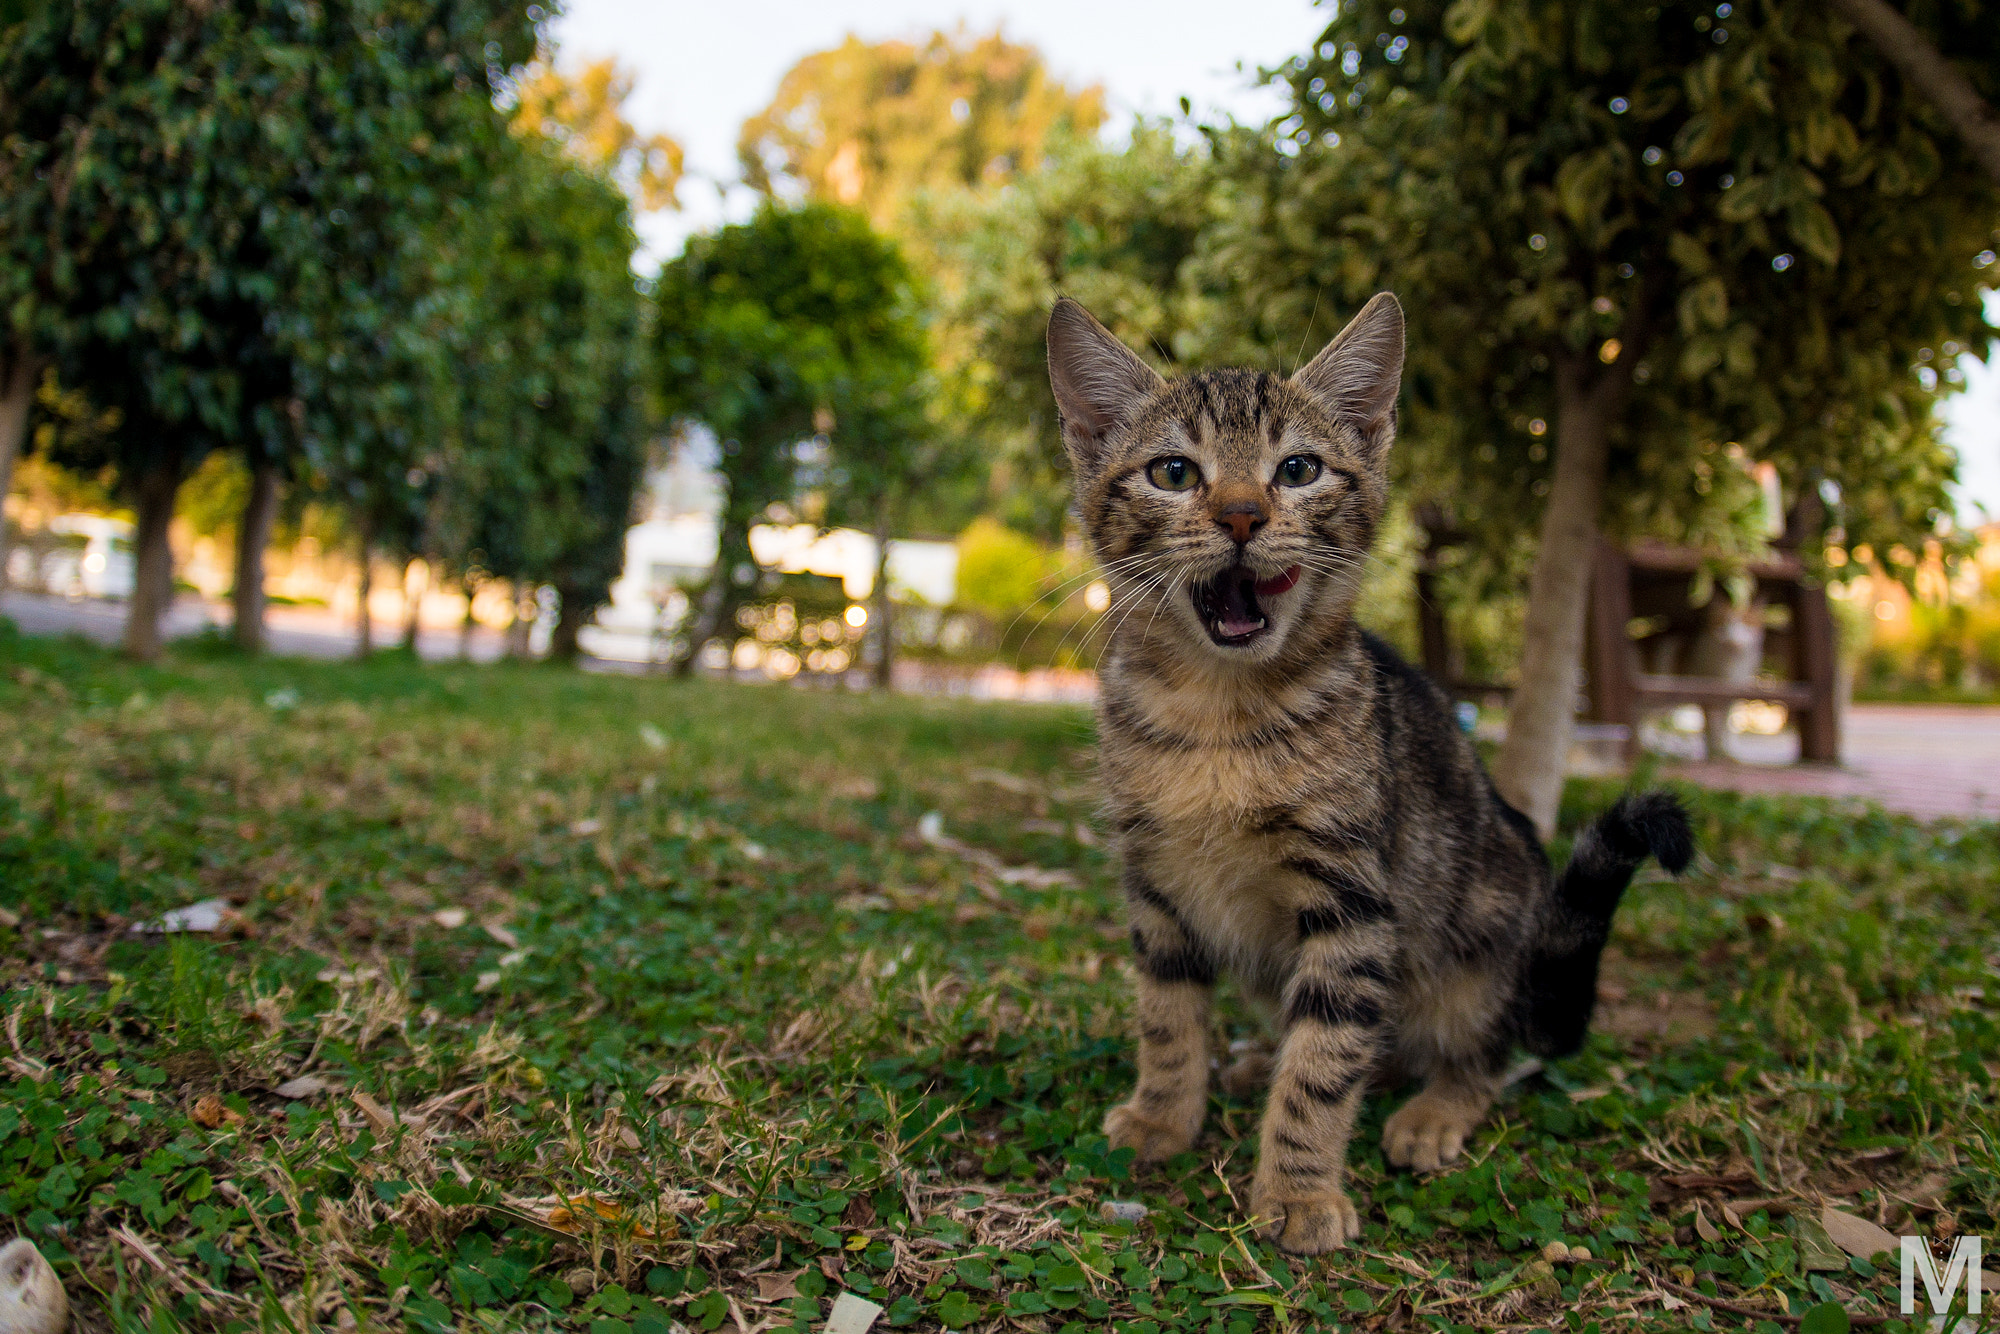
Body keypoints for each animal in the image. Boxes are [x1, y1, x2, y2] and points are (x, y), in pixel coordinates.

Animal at [1048, 290, 1688, 1256]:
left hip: (1479, 943)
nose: (1242, 515)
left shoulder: (1353, 901)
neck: (1218, 717)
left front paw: (1299, 1188)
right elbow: (1166, 1014)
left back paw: (1436, 1107)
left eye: (1299, 469)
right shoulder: (1153, 884)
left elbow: (1327, 1059)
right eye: (1173, 472)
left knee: (1479, 1052)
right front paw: (1164, 1112)